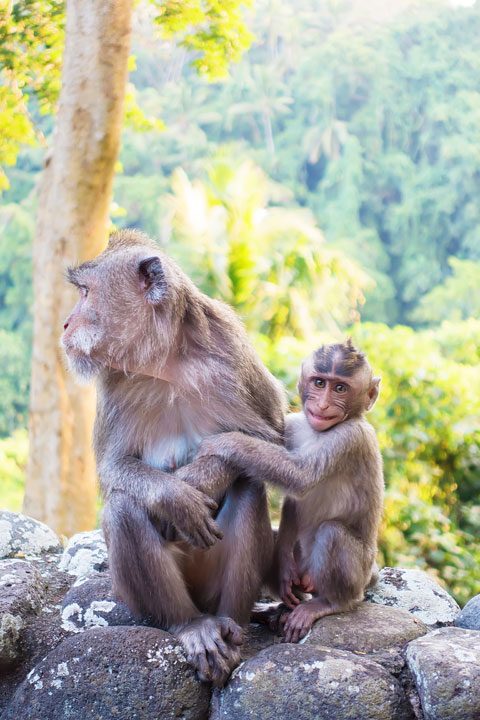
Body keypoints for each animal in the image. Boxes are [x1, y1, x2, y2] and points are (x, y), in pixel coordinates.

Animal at [61, 231, 284, 688]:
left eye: (87, 292)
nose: (66, 324)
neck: (166, 360)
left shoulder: (231, 352)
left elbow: (268, 436)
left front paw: (197, 482)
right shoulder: (113, 383)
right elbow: (114, 468)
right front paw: (175, 498)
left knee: (249, 484)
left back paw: (230, 620)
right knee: (124, 507)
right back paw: (190, 625)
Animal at [197, 340, 384, 644]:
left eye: (340, 388)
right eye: (320, 382)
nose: (323, 404)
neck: (319, 431)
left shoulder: (349, 438)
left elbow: (300, 477)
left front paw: (225, 441)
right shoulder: (294, 426)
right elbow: (294, 502)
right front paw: (284, 568)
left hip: (358, 574)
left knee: (332, 533)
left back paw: (329, 603)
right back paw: (277, 607)